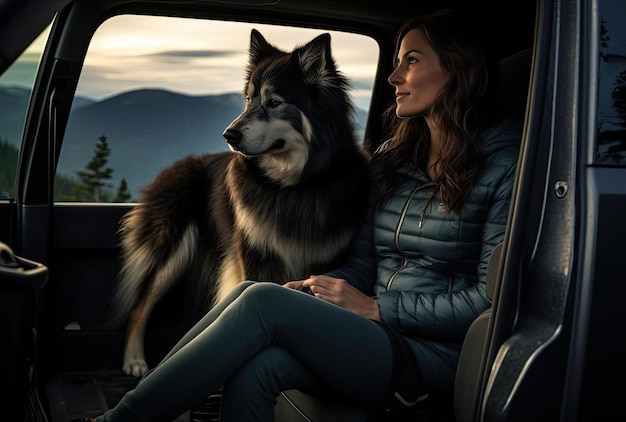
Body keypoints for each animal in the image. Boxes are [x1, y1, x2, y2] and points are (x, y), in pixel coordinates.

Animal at [111, 30, 370, 380]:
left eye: (274, 102)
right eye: (248, 99)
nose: (228, 135)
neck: (293, 186)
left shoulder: (325, 263)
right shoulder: (254, 255)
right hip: (173, 245)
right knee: (140, 305)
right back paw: (135, 360)